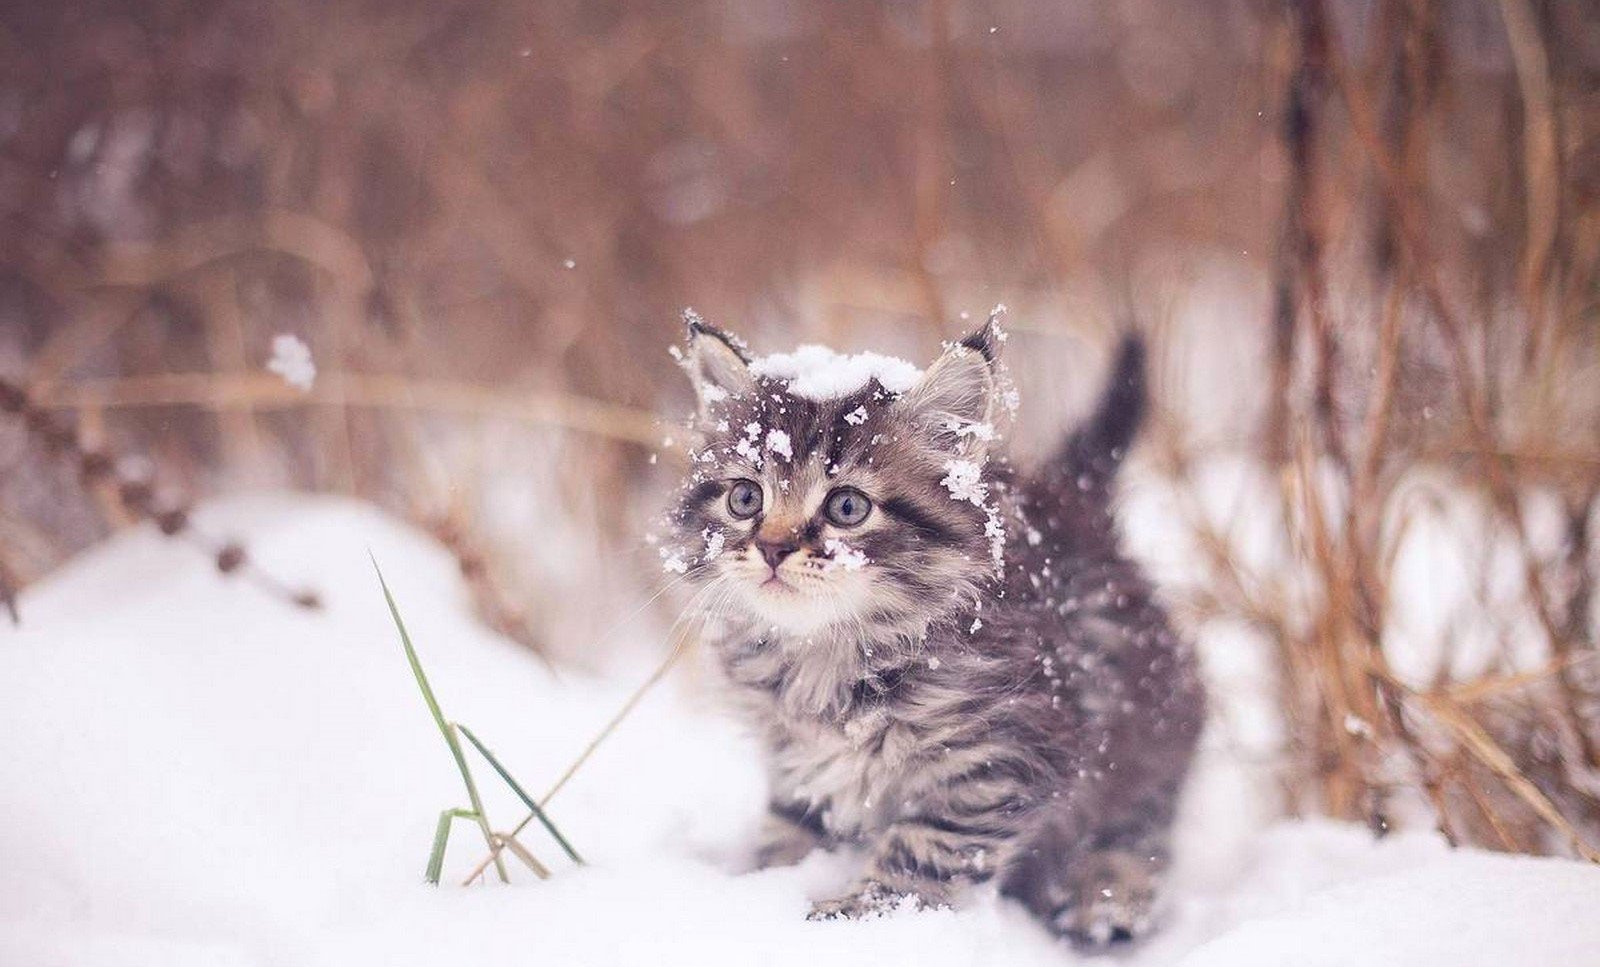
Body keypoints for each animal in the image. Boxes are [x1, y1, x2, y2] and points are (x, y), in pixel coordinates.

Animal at [659, 308, 1203, 941]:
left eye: (847, 507)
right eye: (745, 498)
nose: (771, 549)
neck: (829, 655)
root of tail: (1074, 504)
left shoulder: (999, 759)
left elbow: (920, 854)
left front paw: (849, 918)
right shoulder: (797, 766)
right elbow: (789, 829)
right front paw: (759, 890)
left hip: (1151, 724)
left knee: (1140, 823)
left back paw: (1106, 894)